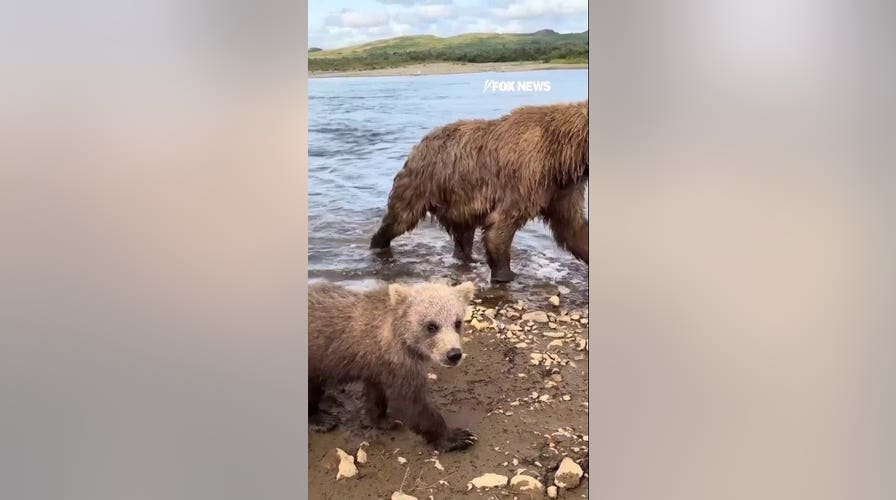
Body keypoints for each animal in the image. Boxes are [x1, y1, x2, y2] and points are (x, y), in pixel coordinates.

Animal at [307, 279, 478, 452]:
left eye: (457, 322)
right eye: (431, 326)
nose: (454, 354)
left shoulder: (379, 366)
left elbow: (377, 394)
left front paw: (382, 419)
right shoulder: (398, 362)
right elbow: (412, 402)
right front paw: (458, 436)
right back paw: (322, 419)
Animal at [370, 101, 588, 283]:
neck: (561, 156)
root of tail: (420, 143)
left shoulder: (562, 189)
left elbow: (572, 228)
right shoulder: (525, 177)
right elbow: (502, 223)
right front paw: (505, 274)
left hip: (459, 198)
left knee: (463, 234)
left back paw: (466, 258)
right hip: (422, 184)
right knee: (399, 218)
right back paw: (378, 244)